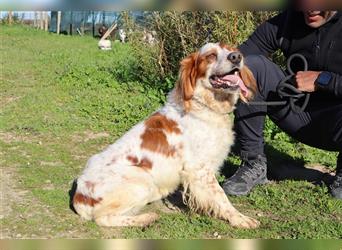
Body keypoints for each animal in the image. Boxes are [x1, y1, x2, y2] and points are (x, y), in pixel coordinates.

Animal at [73, 42, 260, 229]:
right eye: (211, 55)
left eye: (232, 50)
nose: (236, 57)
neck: (205, 107)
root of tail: (79, 196)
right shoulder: (199, 169)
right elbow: (221, 197)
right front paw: (240, 218)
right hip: (142, 179)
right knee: (103, 218)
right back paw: (147, 218)